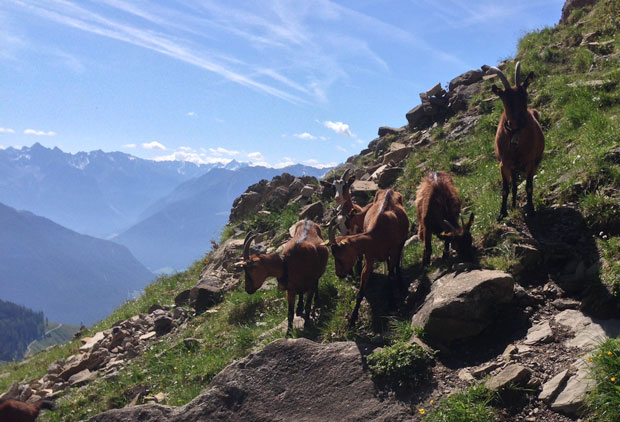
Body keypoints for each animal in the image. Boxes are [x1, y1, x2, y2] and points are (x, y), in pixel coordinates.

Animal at [326, 190, 410, 328]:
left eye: (339, 257)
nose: (339, 274)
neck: (377, 236)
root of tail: (389, 190)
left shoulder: (393, 251)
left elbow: (391, 276)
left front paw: (392, 303)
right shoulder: (369, 258)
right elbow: (361, 290)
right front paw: (352, 319)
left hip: (401, 242)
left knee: (397, 264)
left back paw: (401, 284)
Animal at [490, 63, 544, 223]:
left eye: (524, 95)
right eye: (506, 100)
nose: (521, 122)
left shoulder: (530, 162)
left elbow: (529, 187)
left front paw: (531, 210)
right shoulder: (504, 164)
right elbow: (505, 189)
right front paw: (502, 213)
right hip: (513, 168)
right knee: (513, 186)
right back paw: (513, 205)